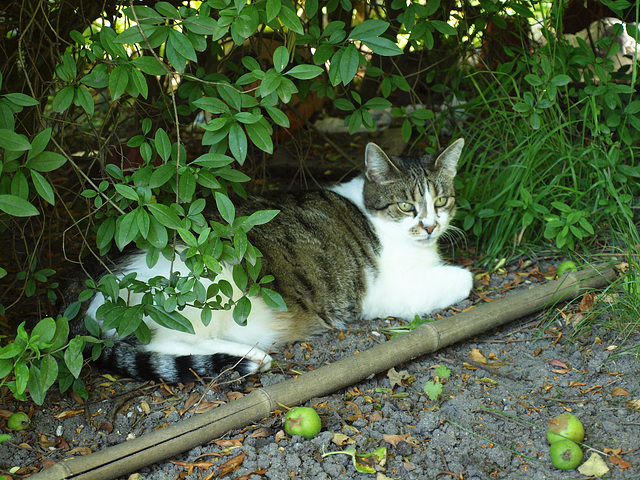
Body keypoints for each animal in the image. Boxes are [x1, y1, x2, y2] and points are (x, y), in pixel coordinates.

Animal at [77, 139, 472, 382]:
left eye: (441, 201)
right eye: (406, 206)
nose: (431, 226)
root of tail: (97, 301)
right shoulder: (384, 292)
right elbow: (465, 278)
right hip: (205, 286)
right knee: (161, 344)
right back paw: (248, 357)